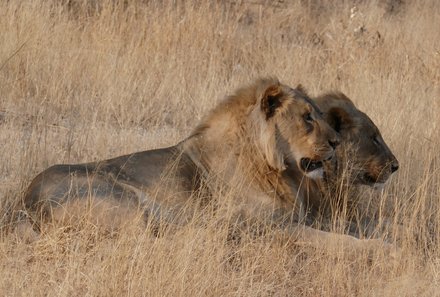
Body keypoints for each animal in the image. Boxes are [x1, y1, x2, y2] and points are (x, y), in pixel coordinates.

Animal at [22, 77, 390, 251]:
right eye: (307, 118)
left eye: (319, 114)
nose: (336, 142)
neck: (277, 167)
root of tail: (26, 202)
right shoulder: (271, 227)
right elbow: (337, 241)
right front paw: (380, 248)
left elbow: (349, 228)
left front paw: (384, 234)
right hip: (126, 201)